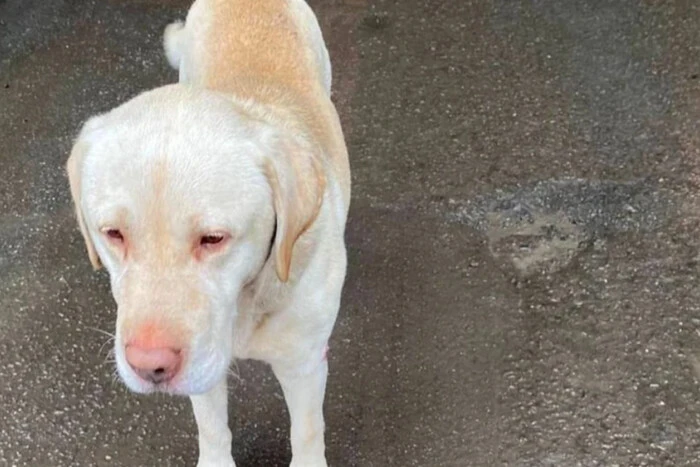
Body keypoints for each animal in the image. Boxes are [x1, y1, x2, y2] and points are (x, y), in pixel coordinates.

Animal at [66, 1, 350, 466]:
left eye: (213, 239)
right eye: (113, 234)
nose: (149, 366)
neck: (247, 305)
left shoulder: (305, 363)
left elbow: (307, 431)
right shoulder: (203, 371)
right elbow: (213, 427)